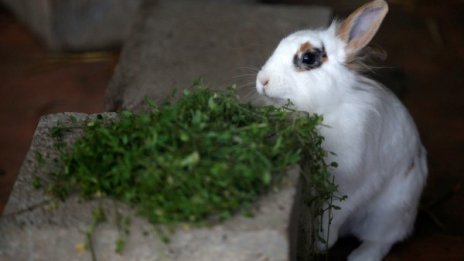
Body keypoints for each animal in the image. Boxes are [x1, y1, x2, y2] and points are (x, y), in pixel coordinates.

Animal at [258, 1, 428, 258]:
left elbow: (336, 212)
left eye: (308, 57)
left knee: (382, 240)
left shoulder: (353, 181)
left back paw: (361, 257)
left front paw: (321, 244)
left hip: (391, 211)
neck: (327, 107)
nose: (262, 81)